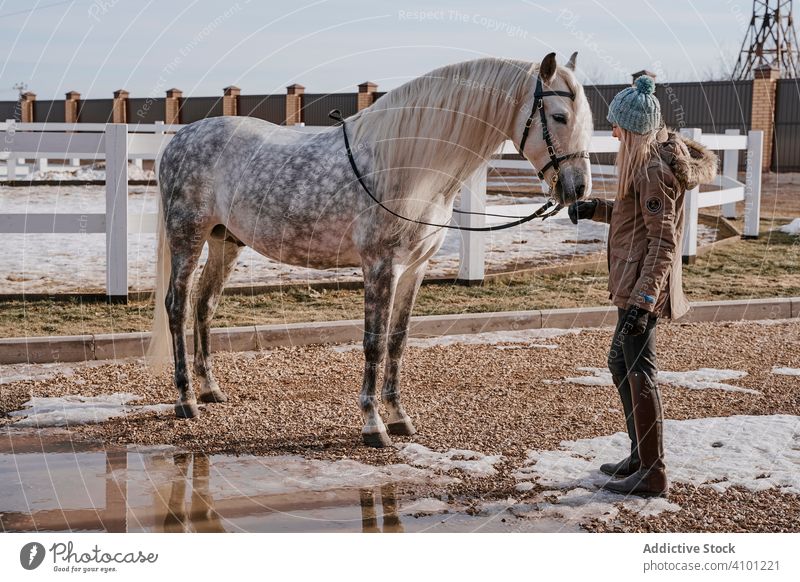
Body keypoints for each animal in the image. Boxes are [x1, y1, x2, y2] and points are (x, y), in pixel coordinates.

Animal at [147, 52, 592, 450]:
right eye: (558, 117)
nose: (578, 189)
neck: (412, 169)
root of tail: (179, 140)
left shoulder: (415, 268)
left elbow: (397, 341)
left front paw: (399, 417)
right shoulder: (381, 266)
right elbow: (374, 342)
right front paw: (373, 424)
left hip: (225, 241)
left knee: (205, 304)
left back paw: (210, 389)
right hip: (187, 237)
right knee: (178, 306)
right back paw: (186, 400)